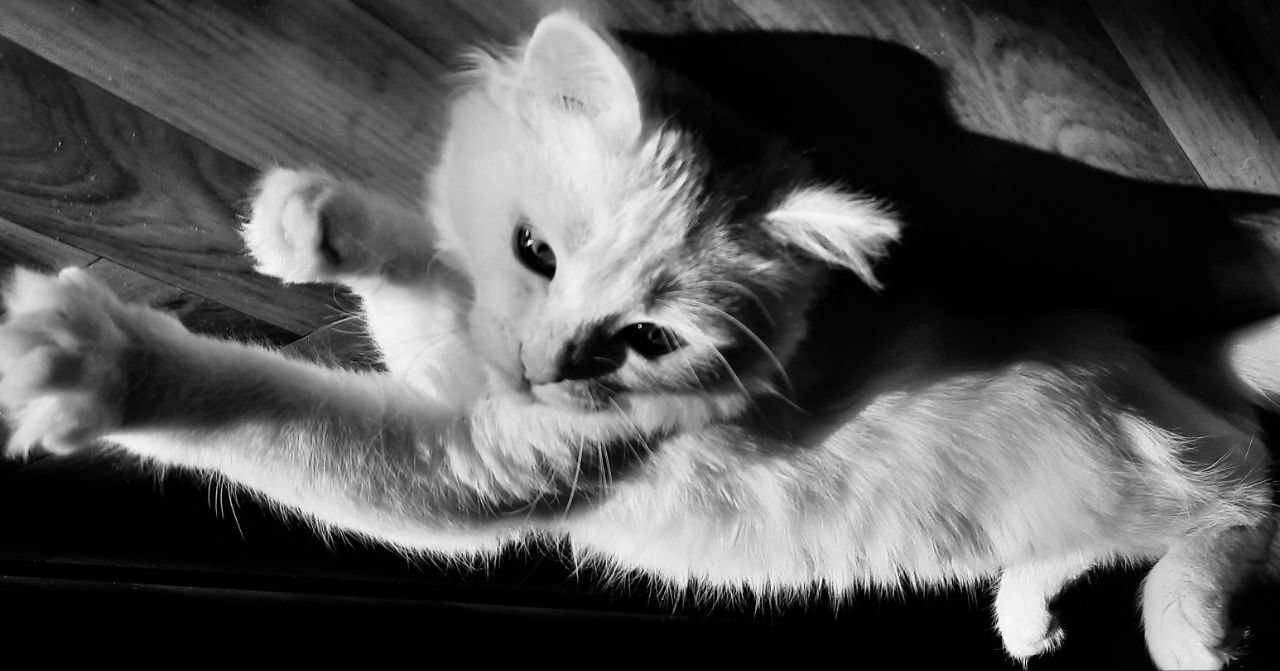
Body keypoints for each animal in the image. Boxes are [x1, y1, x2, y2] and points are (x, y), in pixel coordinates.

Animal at [0, 11, 1276, 669]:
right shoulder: (472, 373)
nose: (549, 365)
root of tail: (1141, 348)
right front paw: (315, 225)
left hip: (1157, 478)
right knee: (1095, 536)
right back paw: (1024, 615)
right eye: (535, 253)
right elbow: (421, 290)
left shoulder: (473, 469)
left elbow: (265, 407)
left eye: (648, 338)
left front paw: (91, 356)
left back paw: (1191, 625)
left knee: (1243, 498)